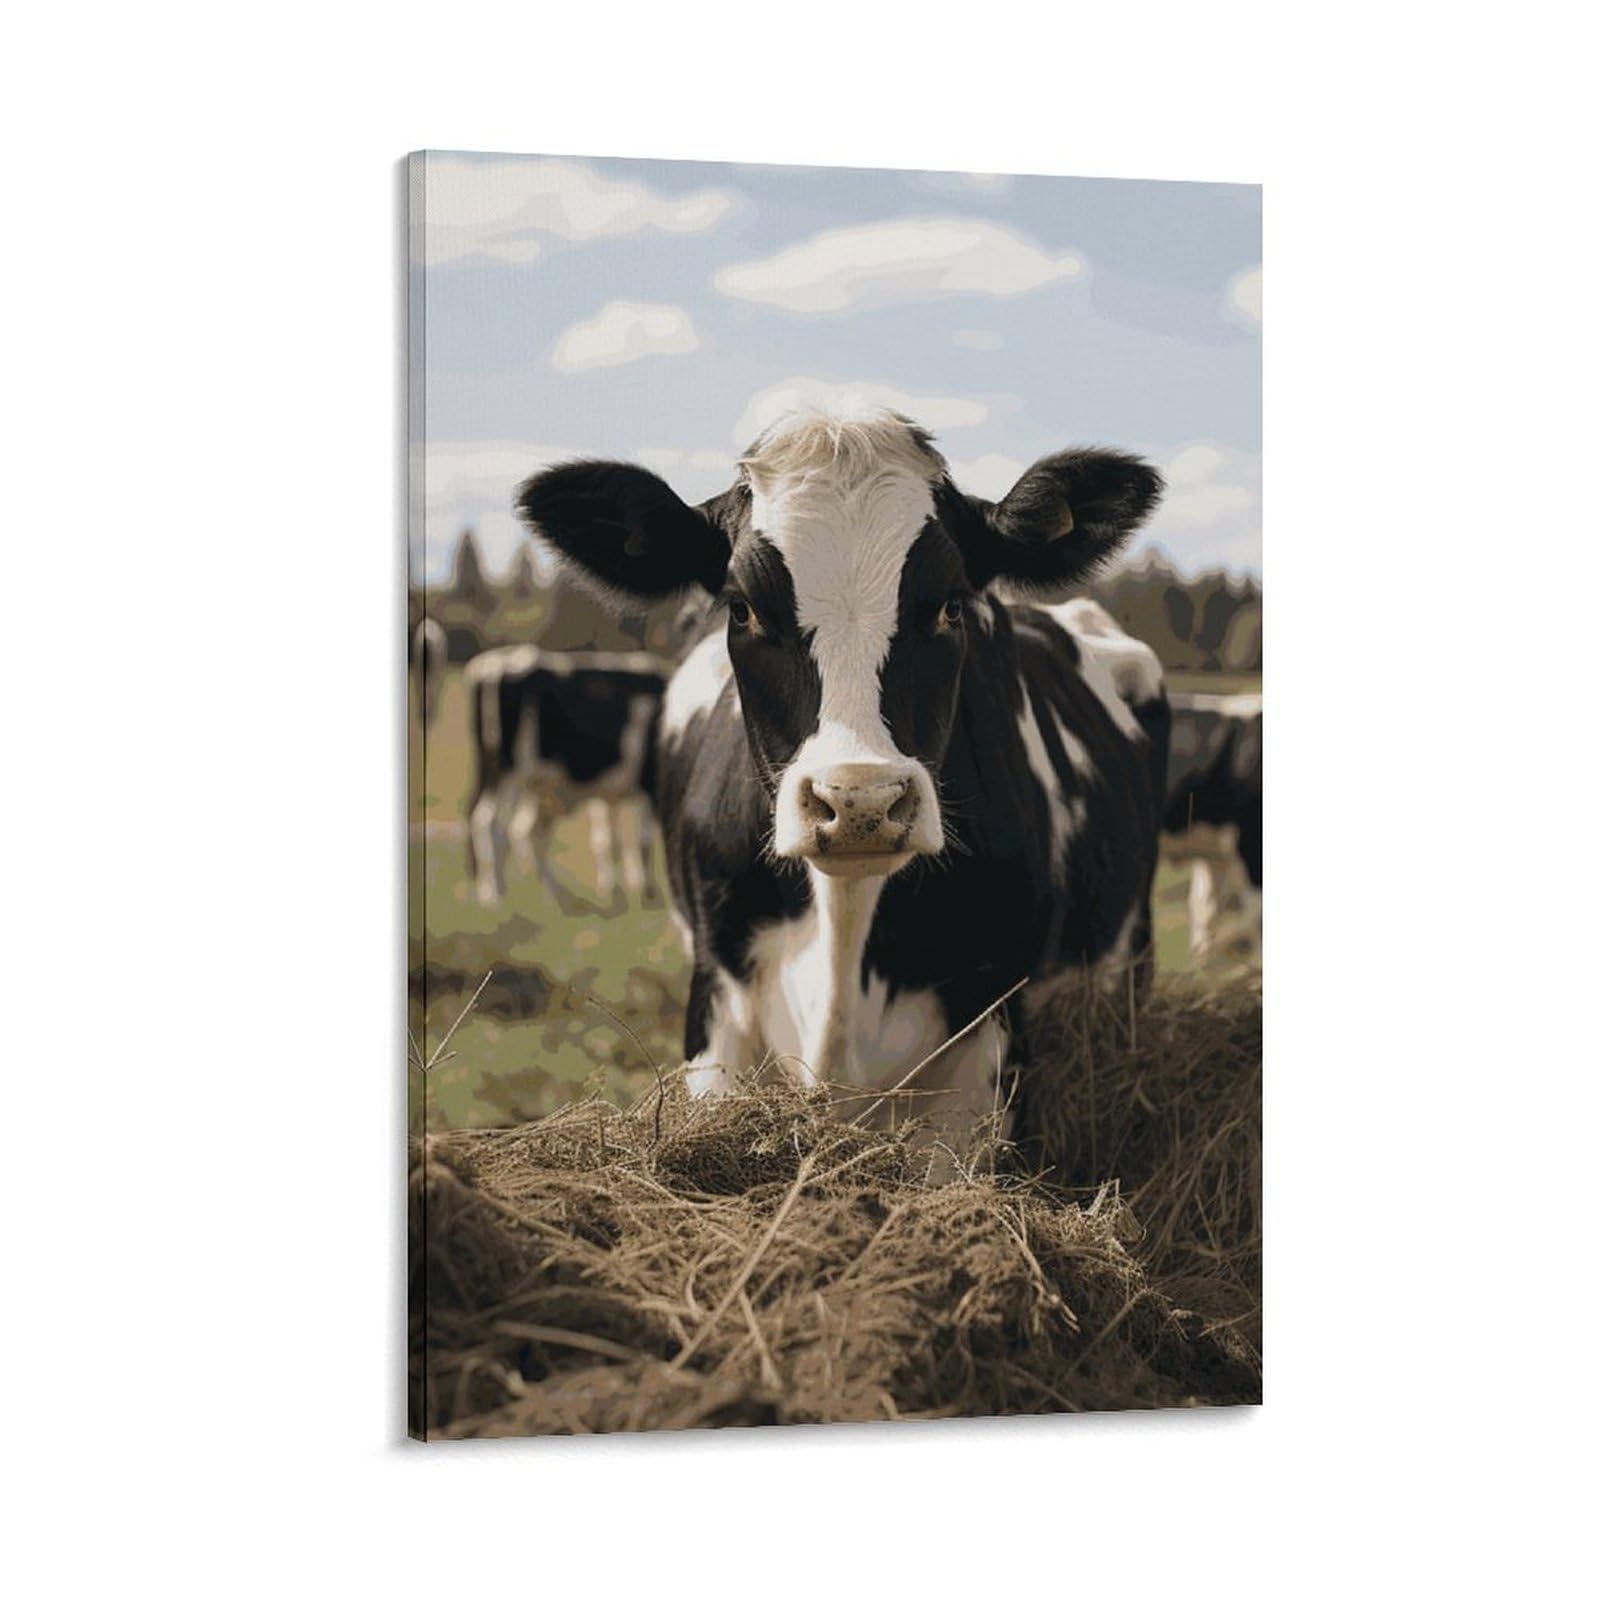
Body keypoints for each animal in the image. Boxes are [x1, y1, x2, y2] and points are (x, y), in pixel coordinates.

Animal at [463, 645, 669, 909]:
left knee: (523, 831)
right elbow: (643, 842)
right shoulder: (648, 784)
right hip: (509, 773)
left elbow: (607, 841)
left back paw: (556, 896)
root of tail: (494, 662)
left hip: (503, 776)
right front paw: (648, 895)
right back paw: (496, 894)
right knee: (492, 824)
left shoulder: (608, 792)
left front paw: (613, 892)